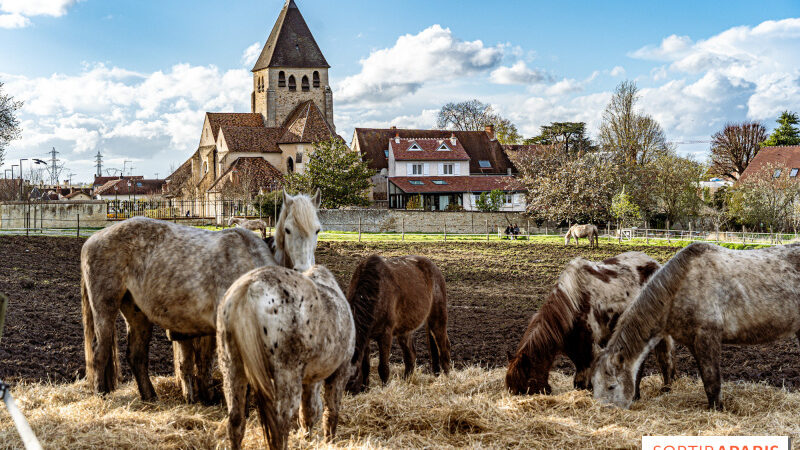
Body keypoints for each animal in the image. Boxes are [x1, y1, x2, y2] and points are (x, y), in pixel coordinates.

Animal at [79, 189, 320, 400]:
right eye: (288, 229)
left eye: (317, 230)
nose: (304, 270)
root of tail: (93, 239)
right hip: (105, 308)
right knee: (100, 350)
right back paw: (101, 394)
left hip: (137, 314)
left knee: (136, 355)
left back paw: (150, 396)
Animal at [219, 266, 356, 450]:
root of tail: (250, 288)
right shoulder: (341, 370)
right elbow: (330, 411)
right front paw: (329, 441)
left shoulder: (309, 379)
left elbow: (308, 412)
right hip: (286, 375)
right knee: (281, 424)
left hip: (232, 369)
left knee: (235, 421)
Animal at [344, 253, 450, 394]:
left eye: (352, 379)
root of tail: (434, 268)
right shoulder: (366, 337)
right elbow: (366, 365)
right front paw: (365, 388)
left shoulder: (385, 335)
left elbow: (383, 367)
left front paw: (384, 389)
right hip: (405, 330)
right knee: (411, 355)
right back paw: (407, 381)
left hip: (437, 320)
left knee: (444, 349)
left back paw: (447, 379)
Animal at [506, 251, 676, 396]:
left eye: (527, 385)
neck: (574, 304)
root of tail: (656, 265)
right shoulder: (575, 349)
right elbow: (579, 380)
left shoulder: (587, 348)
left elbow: (583, 379)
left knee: (664, 358)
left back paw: (664, 389)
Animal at [592, 243, 800, 412]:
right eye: (594, 385)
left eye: (611, 386)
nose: (604, 410)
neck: (680, 287)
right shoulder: (693, 343)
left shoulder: (707, 338)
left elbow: (712, 381)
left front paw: (717, 410)